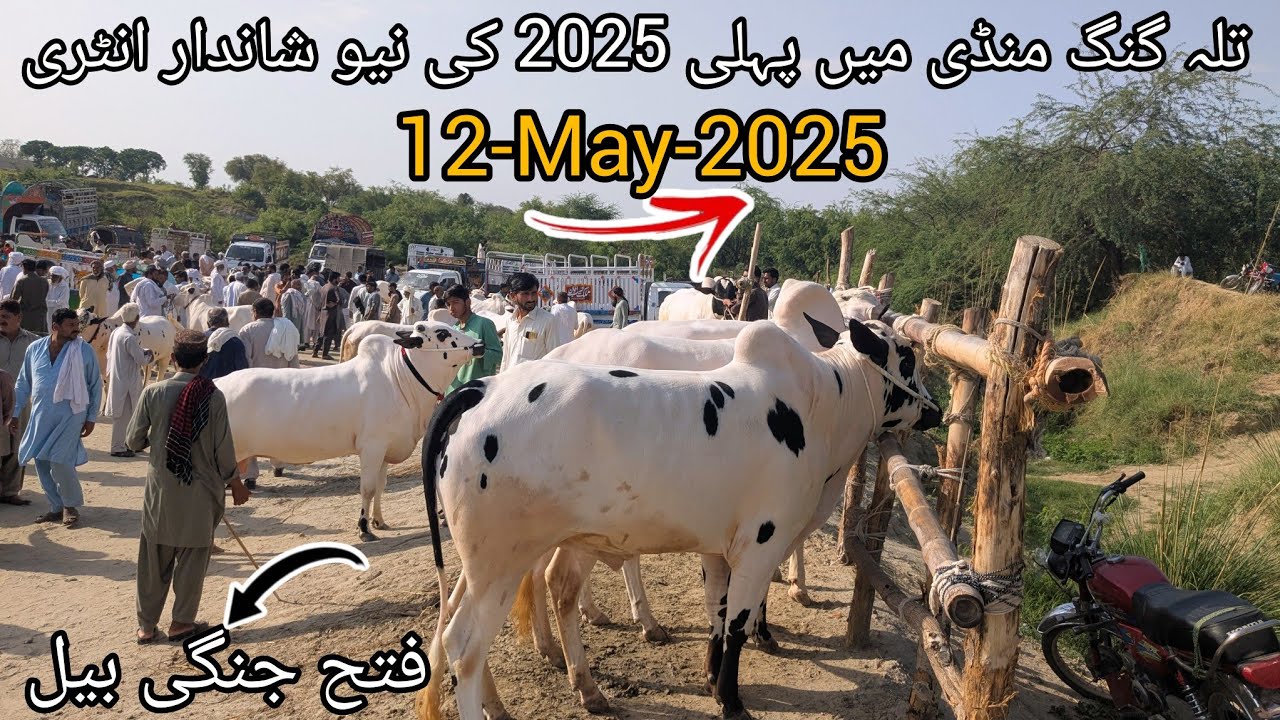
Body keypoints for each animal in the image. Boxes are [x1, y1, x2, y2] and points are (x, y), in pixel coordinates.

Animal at [216, 321, 483, 541]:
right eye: (442, 333)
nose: (479, 344)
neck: (400, 378)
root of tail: (217, 384)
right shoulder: (372, 447)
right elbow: (368, 488)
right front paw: (364, 528)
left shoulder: (384, 451)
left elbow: (381, 486)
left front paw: (379, 521)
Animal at [415, 317, 940, 720]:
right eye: (907, 360)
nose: (935, 411)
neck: (821, 404)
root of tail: (481, 389)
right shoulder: (761, 543)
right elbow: (738, 624)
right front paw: (731, 700)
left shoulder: (718, 547)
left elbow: (717, 612)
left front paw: (710, 678)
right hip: (499, 564)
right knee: (464, 648)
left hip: (488, 562)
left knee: (464, 624)